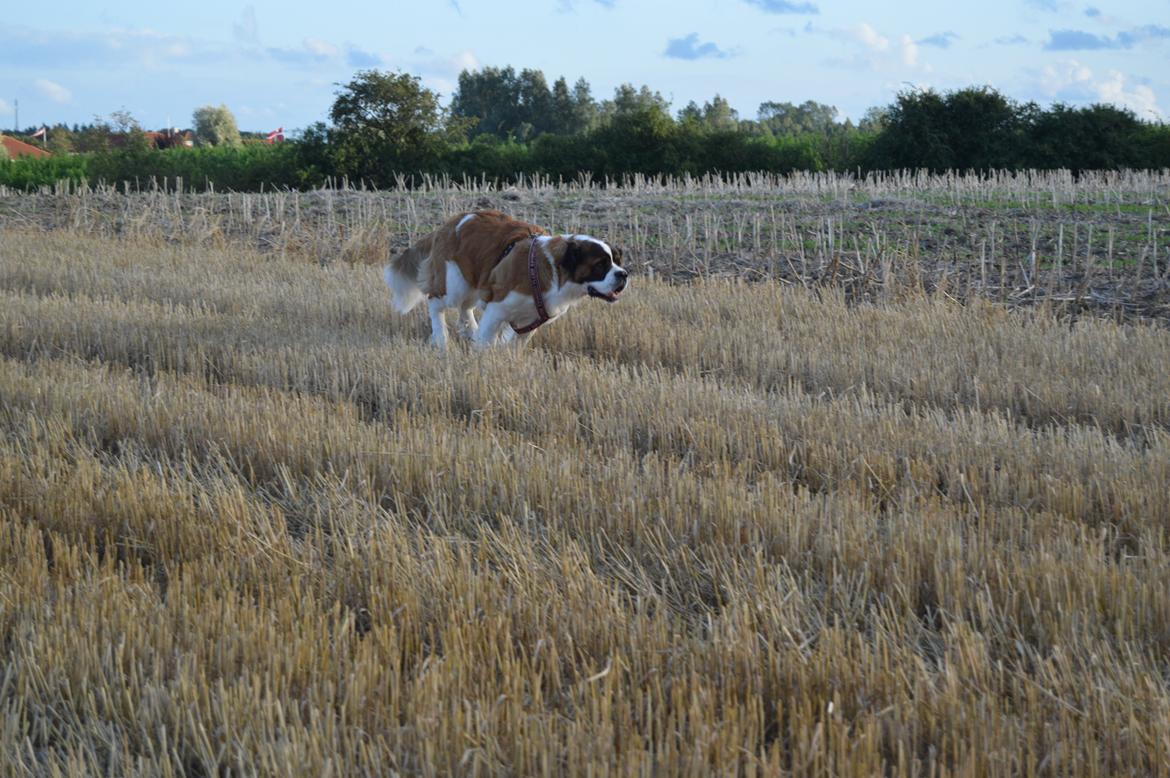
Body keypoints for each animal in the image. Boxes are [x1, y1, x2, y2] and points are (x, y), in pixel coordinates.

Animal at [383, 209, 627, 348]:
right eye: (600, 265)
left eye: (617, 260)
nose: (623, 274)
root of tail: (451, 222)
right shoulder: (498, 308)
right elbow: (487, 342)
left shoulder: (530, 320)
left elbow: (516, 344)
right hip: (455, 284)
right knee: (436, 302)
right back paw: (441, 338)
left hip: (476, 281)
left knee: (465, 308)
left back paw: (470, 330)